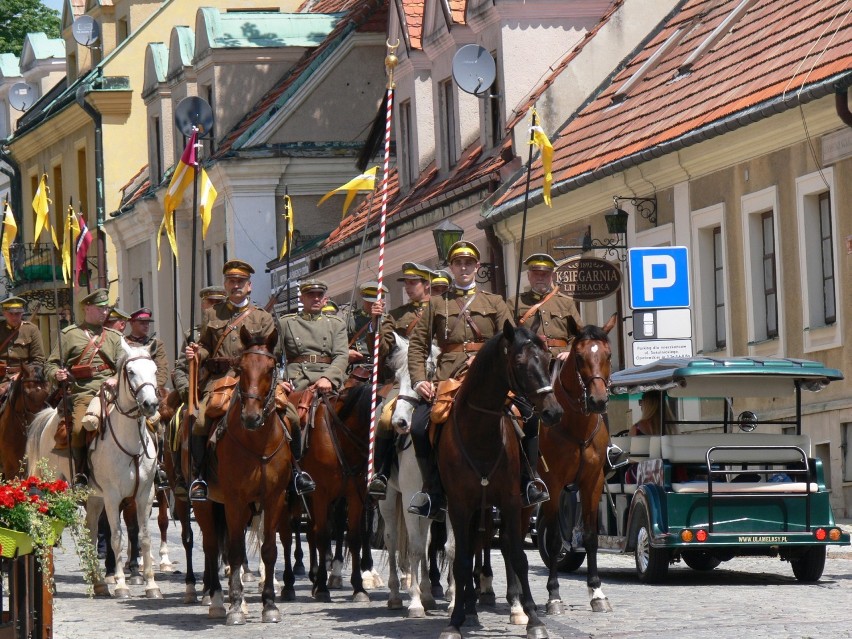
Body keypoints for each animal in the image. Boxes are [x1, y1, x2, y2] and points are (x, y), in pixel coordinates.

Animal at [26, 342, 161, 596]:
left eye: (154, 370)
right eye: (131, 372)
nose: (150, 404)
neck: (131, 444)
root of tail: (49, 418)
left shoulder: (144, 495)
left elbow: (145, 537)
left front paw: (151, 584)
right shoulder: (112, 496)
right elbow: (116, 537)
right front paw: (120, 583)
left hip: (94, 498)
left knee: (89, 531)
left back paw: (98, 581)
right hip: (55, 491)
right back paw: (55, 583)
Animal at [193, 330, 296, 624]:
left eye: (271, 368)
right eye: (240, 368)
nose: (251, 416)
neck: (257, 443)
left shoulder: (274, 499)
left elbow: (270, 549)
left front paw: (269, 605)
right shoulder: (234, 501)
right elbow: (235, 550)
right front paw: (237, 606)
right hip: (204, 504)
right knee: (211, 546)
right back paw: (217, 600)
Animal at [440, 324, 560, 639]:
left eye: (548, 359)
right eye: (519, 362)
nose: (553, 412)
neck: (480, 433)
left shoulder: (509, 501)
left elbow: (517, 555)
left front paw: (533, 619)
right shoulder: (459, 506)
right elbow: (460, 559)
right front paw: (454, 621)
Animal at [540, 316, 620, 616]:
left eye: (608, 355)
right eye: (578, 356)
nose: (598, 401)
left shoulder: (591, 483)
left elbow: (590, 536)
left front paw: (597, 592)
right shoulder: (551, 486)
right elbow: (553, 540)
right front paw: (553, 596)